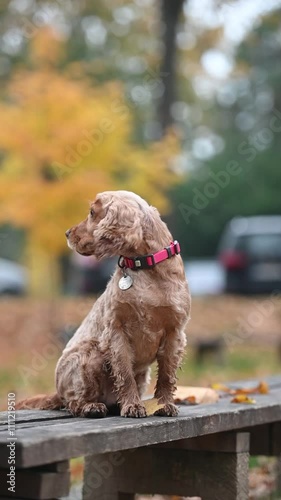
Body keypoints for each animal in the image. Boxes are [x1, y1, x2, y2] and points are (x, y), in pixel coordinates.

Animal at [17, 191, 190, 418]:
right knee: (74, 402)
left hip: (142, 374)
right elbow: (124, 373)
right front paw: (132, 406)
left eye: (92, 212)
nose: (66, 233)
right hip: (88, 355)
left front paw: (164, 404)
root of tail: (57, 391)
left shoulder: (174, 331)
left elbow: (167, 375)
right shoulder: (116, 329)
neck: (144, 267)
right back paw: (92, 407)